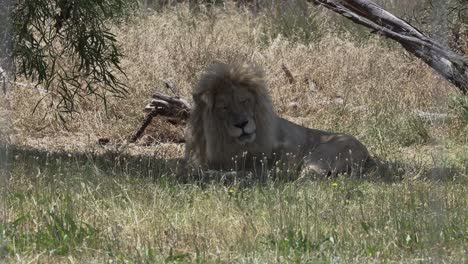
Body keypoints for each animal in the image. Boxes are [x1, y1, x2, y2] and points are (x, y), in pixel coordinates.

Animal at [185, 60, 372, 178]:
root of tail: (367, 153)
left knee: (309, 177)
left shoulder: (288, 148)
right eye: (224, 107)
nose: (242, 124)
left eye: (244, 101)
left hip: (320, 155)